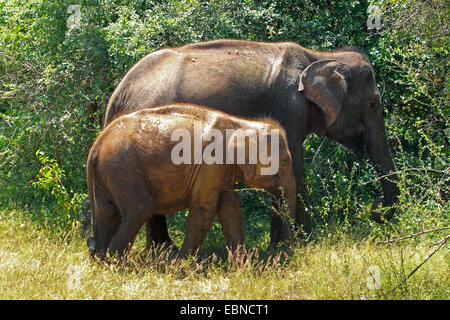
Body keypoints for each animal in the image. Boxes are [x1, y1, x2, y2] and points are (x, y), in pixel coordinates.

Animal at [86, 104, 298, 258]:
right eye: (284, 162)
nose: (286, 252)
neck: (242, 124)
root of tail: (96, 146)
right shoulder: (211, 162)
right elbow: (204, 208)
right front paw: (181, 264)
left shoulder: (222, 170)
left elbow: (230, 207)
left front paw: (242, 263)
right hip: (123, 168)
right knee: (140, 208)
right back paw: (116, 263)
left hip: (108, 173)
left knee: (106, 212)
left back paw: (101, 261)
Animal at [103, 38, 400, 246]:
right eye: (373, 104)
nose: (376, 209)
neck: (320, 57)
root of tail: (117, 95)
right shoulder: (288, 108)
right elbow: (295, 168)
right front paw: (301, 243)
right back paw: (165, 252)